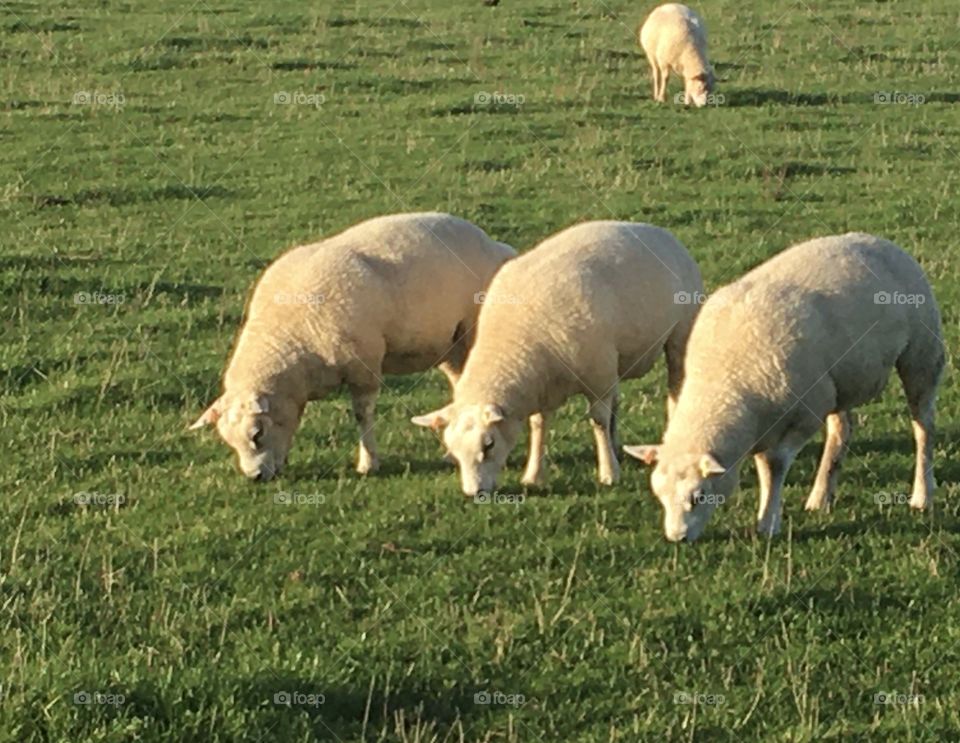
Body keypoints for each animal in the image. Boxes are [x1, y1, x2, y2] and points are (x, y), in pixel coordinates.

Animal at [190, 212, 516, 481]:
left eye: (257, 434)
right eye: (230, 441)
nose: (255, 477)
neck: (291, 334)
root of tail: (498, 246)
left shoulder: (364, 367)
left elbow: (362, 415)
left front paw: (368, 463)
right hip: (449, 345)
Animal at [411, 221, 704, 496]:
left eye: (489, 444)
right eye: (453, 449)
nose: (475, 493)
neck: (516, 342)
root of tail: (657, 231)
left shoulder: (597, 377)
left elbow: (598, 421)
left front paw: (609, 473)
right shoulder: (547, 382)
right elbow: (539, 425)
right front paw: (533, 475)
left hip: (681, 333)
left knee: (675, 389)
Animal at [624, 233, 944, 542]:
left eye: (698, 496)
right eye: (659, 495)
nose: (676, 538)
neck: (725, 380)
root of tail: (878, 240)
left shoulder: (806, 412)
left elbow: (774, 465)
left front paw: (768, 522)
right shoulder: (766, 419)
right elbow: (764, 466)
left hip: (922, 352)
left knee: (924, 426)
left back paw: (922, 494)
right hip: (838, 382)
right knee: (842, 430)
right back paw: (821, 496)